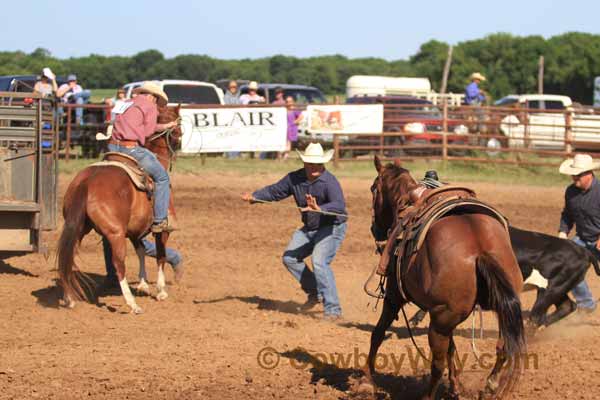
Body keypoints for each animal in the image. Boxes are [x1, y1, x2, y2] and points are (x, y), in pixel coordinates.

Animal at [57, 104, 182, 314]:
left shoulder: (134, 231)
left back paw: (69, 298)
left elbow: (141, 251)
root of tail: (88, 181)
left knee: (69, 256)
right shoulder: (162, 229)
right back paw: (132, 304)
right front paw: (160, 290)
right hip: (115, 233)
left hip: (79, 227)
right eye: (178, 127)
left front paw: (143, 285)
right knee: (119, 263)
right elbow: (161, 255)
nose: (180, 142)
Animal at [360, 155, 524, 400]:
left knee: (437, 365)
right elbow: (452, 349)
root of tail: (480, 248)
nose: (374, 229)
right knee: (502, 347)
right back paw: (490, 385)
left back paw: (428, 396)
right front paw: (456, 388)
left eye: (373, 188)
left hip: (439, 323)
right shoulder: (445, 315)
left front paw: (366, 381)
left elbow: (377, 333)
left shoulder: (394, 298)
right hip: (478, 312)